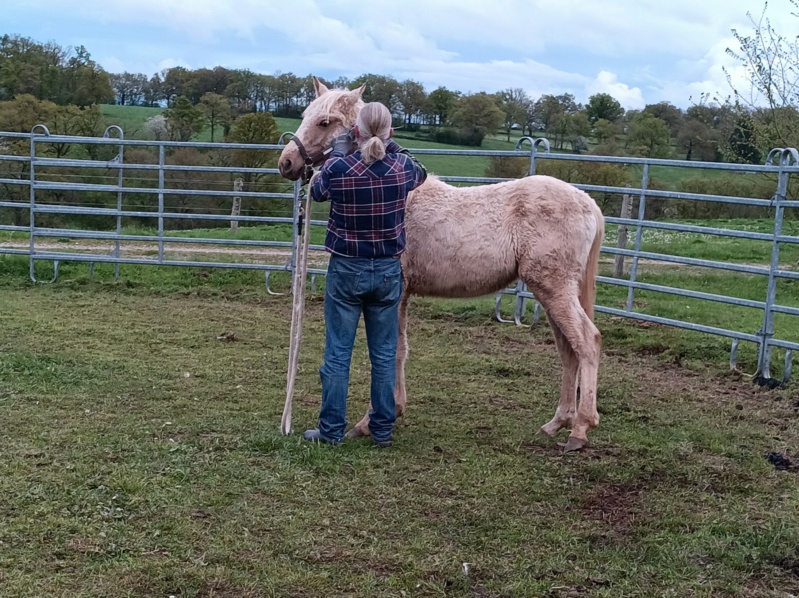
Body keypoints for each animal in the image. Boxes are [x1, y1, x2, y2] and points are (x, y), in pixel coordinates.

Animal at [278, 77, 604, 452]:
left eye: (325, 122)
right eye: (305, 115)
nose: (286, 163)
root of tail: (588, 202)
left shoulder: (397, 292)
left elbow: (392, 349)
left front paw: (371, 421)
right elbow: (397, 349)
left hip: (554, 289)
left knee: (587, 342)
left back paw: (580, 428)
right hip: (553, 293)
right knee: (568, 350)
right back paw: (557, 423)